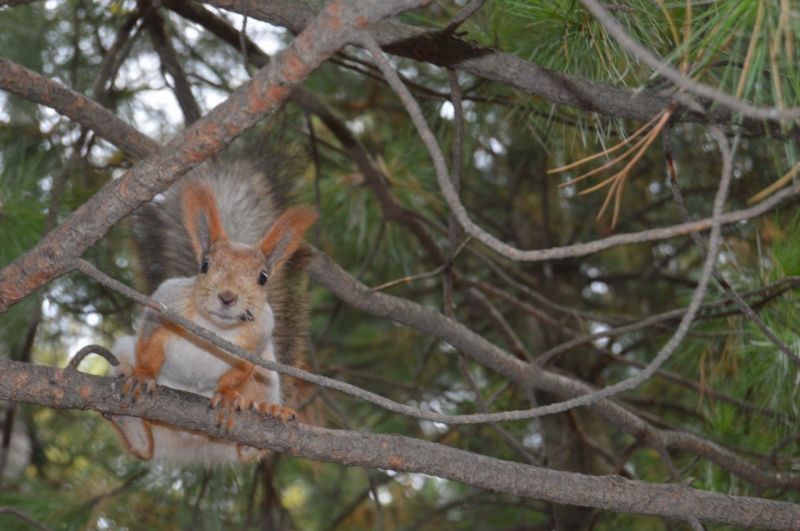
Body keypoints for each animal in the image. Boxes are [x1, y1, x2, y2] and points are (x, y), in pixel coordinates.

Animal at [107, 159, 318, 466]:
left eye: (263, 277)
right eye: (204, 265)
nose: (227, 297)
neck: (216, 327)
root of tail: (194, 441)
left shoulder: (258, 338)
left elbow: (238, 373)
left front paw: (228, 396)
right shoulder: (165, 306)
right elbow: (149, 345)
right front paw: (143, 374)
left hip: (267, 376)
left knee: (248, 450)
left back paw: (268, 411)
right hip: (125, 350)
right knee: (143, 448)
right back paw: (129, 419)